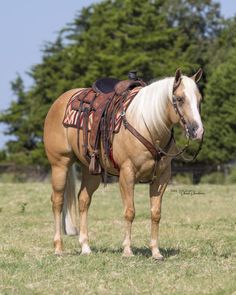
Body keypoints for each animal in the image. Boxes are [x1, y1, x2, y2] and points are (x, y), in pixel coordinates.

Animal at [43, 68, 204, 260]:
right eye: (179, 99)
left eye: (199, 99)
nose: (197, 131)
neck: (147, 125)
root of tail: (60, 101)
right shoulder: (127, 174)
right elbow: (130, 211)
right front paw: (127, 250)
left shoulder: (162, 177)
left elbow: (155, 213)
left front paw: (155, 252)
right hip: (60, 165)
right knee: (57, 201)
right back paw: (58, 248)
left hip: (90, 170)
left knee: (83, 200)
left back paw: (85, 247)